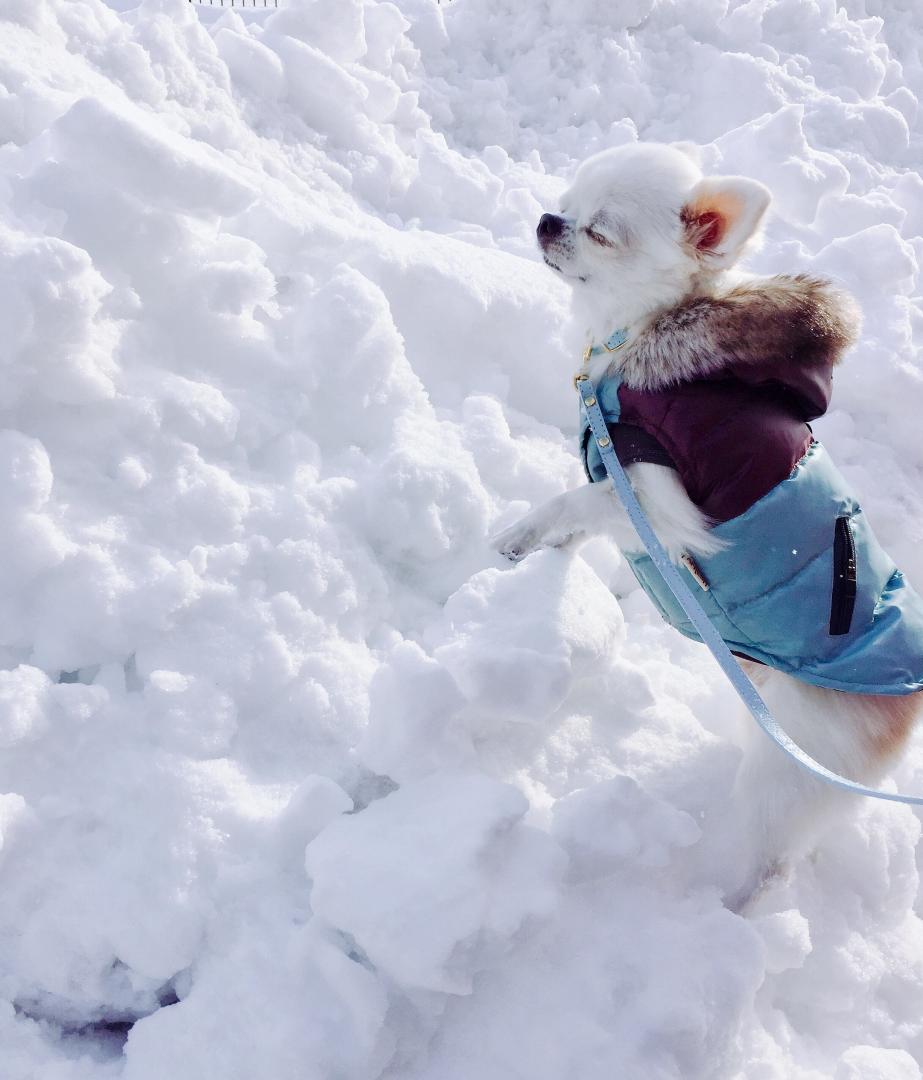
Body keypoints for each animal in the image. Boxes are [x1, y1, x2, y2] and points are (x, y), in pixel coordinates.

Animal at [494, 139, 923, 907]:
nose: (546, 220)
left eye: (599, 232)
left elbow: (574, 502)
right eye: (566, 201)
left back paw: (725, 910)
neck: (639, 335)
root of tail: (908, 701)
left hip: (790, 777)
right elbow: (588, 521)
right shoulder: (628, 500)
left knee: (768, 857)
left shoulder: (653, 497)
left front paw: (521, 536)